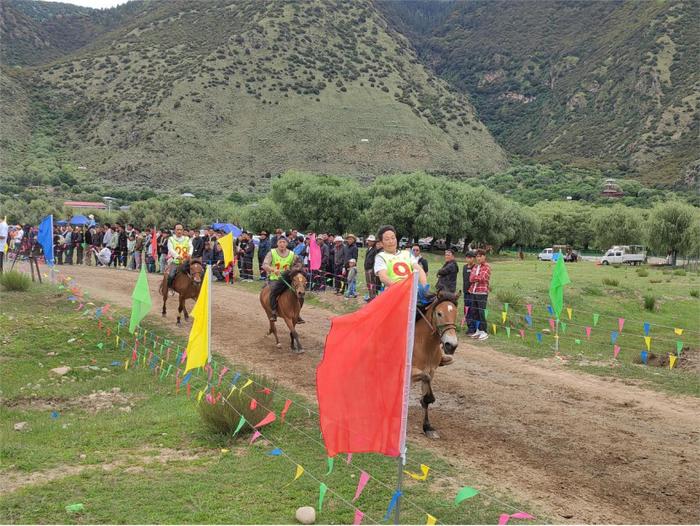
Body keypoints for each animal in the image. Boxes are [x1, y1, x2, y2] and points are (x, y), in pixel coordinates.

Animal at [410, 292, 460, 442]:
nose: (451, 345)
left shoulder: (431, 371)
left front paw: (428, 428)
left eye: (455, 313)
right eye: (439, 313)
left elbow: (426, 398)